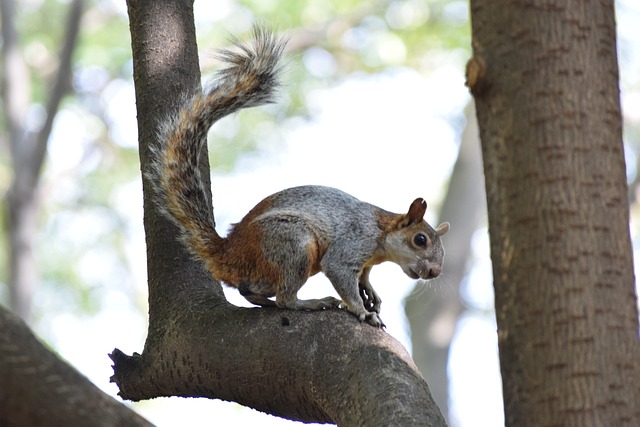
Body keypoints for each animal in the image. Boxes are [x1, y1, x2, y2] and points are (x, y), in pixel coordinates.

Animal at [151, 26, 450, 328]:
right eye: (420, 240)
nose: (435, 272)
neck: (381, 237)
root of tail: (227, 254)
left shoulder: (365, 262)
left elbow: (363, 277)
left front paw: (371, 292)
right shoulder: (353, 243)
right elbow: (340, 272)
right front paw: (362, 310)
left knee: (250, 290)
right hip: (294, 245)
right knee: (285, 298)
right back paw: (311, 302)